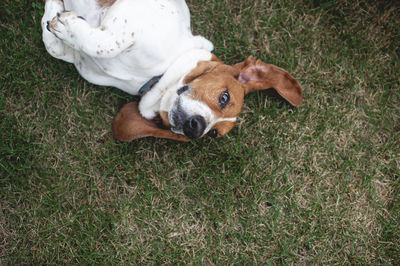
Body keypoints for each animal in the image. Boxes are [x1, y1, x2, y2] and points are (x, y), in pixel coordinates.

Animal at [41, 0, 304, 141]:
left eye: (213, 134)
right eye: (224, 96)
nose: (195, 128)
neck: (155, 76)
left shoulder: (79, 58)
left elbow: (58, 46)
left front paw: (56, 17)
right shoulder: (130, 18)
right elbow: (104, 44)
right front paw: (56, 12)